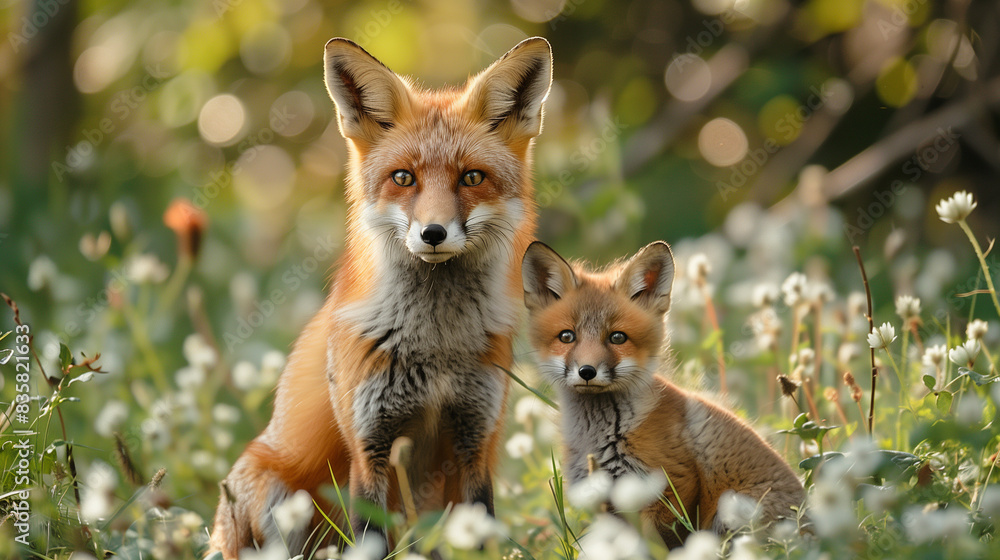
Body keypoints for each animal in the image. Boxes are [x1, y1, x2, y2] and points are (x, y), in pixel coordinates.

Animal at [208, 37, 552, 558]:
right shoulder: (369, 445)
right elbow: (369, 538)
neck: (437, 346)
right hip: (275, 493)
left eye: (472, 178)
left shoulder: (476, 439)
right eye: (403, 178)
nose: (433, 233)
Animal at [521, 241, 805, 547]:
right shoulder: (606, 499)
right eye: (566, 337)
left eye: (617, 338)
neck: (602, 436)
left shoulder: (674, 485)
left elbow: (666, 545)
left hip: (732, 514)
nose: (587, 371)